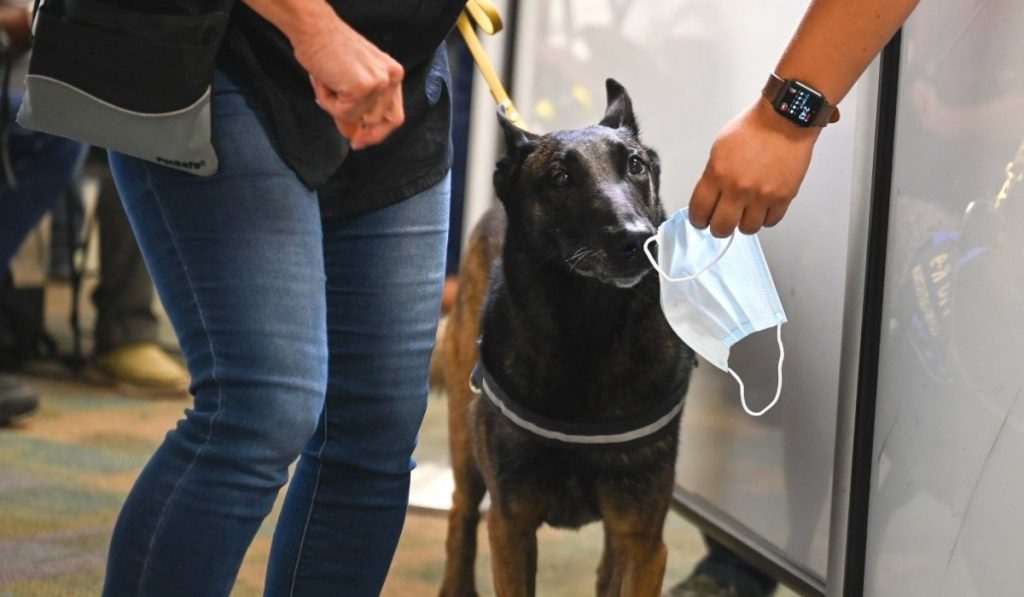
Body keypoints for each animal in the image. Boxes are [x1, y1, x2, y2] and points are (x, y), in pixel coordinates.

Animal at [438, 79, 695, 597]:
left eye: (635, 165)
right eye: (560, 177)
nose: (637, 239)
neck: (588, 330)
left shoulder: (642, 540)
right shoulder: (511, 526)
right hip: (465, 439)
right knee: (461, 513)